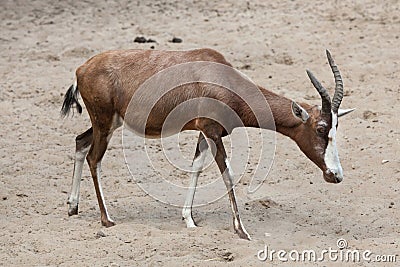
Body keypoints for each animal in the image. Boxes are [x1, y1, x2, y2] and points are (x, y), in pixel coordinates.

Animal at [61, 48, 354, 241]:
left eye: (336, 128)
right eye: (321, 129)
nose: (336, 176)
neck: (222, 77)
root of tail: (82, 69)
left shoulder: (206, 132)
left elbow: (196, 167)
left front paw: (189, 220)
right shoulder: (213, 132)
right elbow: (228, 174)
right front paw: (242, 231)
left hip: (109, 124)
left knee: (80, 142)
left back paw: (73, 207)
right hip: (104, 123)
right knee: (94, 158)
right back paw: (107, 219)